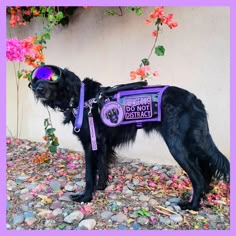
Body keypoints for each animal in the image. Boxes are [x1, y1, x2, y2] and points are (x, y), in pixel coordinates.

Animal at [30, 65, 230, 210]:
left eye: (51, 77)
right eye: (35, 79)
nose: (37, 88)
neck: (80, 98)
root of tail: (195, 100)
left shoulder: (90, 143)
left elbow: (89, 174)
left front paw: (85, 197)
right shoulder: (102, 144)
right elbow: (102, 168)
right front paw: (100, 188)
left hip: (177, 146)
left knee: (198, 177)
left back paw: (193, 205)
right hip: (192, 144)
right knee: (205, 172)